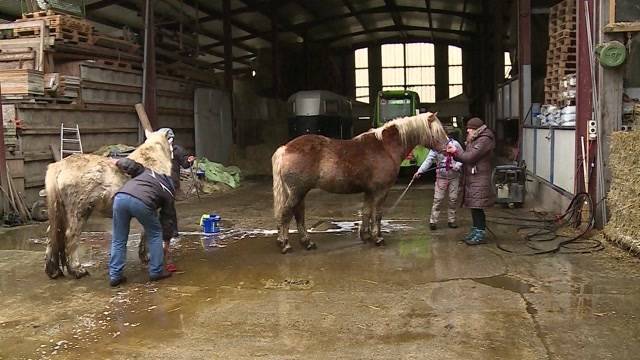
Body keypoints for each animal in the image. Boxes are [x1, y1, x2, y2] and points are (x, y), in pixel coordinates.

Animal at [270, 112, 444, 253]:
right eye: (438, 132)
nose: (447, 148)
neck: (385, 147)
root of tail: (285, 148)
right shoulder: (381, 191)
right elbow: (377, 214)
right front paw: (377, 238)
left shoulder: (369, 191)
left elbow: (366, 212)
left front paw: (365, 236)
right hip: (297, 192)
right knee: (286, 214)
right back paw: (285, 244)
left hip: (300, 192)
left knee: (298, 215)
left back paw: (307, 243)